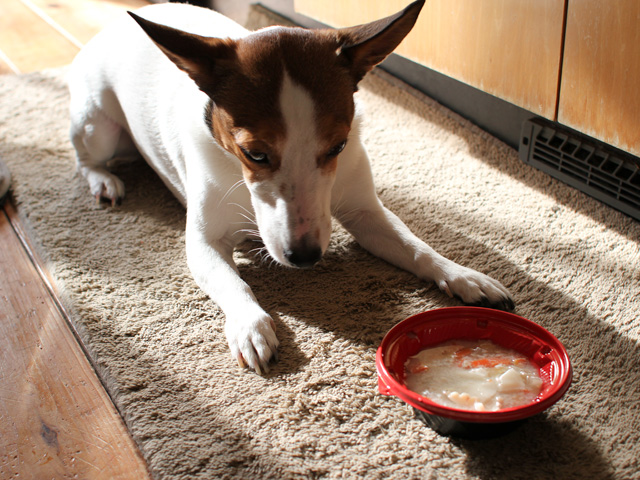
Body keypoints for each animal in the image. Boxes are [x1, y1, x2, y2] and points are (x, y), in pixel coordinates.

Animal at [67, 0, 512, 374]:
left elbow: (418, 248)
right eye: (255, 153)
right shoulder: (203, 241)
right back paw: (104, 181)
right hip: (97, 127)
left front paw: (462, 276)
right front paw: (250, 325)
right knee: (85, 157)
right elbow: (233, 282)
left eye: (338, 146)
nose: (305, 256)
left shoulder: (365, 211)